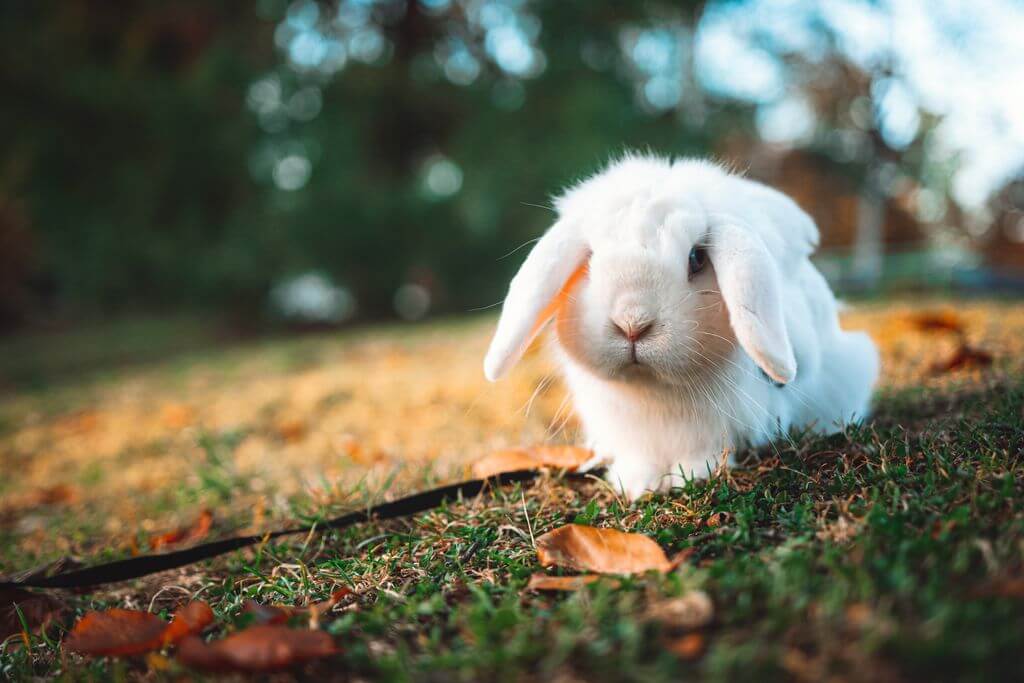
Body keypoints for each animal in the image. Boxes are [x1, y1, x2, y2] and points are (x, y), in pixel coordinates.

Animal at [483, 154, 879, 499]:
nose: (632, 322)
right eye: (590, 260)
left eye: (696, 258)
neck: (654, 393)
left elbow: (705, 451)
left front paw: (690, 476)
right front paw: (636, 484)